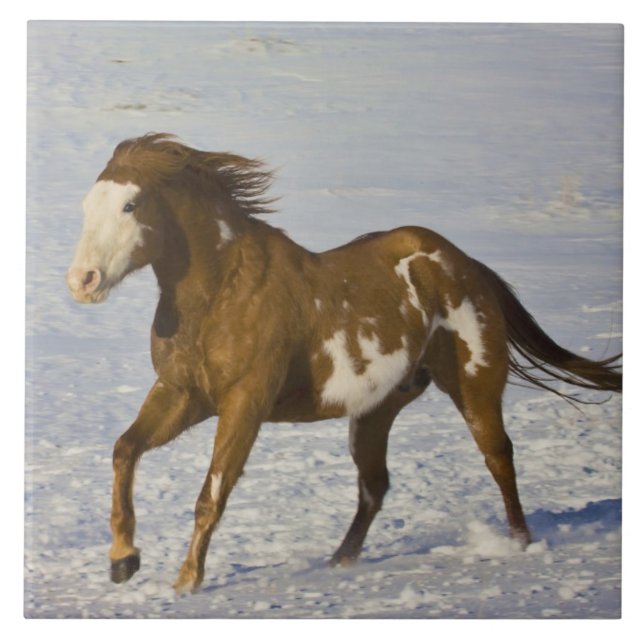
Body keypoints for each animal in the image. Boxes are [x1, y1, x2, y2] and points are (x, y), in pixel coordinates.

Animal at [66, 133, 622, 593]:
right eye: (88, 205)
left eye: (131, 204)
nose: (82, 281)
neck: (222, 292)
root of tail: (465, 264)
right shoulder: (183, 393)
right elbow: (125, 450)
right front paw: (123, 559)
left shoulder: (244, 402)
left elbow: (212, 493)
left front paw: (186, 581)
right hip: (377, 409)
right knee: (375, 485)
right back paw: (339, 561)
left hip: (474, 385)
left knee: (499, 457)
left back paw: (520, 543)